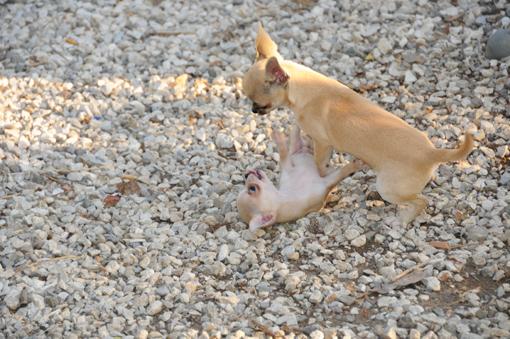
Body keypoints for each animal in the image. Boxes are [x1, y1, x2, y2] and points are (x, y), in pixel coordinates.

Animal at [243, 24, 474, 226]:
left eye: (259, 103)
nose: (253, 110)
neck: (303, 88)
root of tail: (432, 152)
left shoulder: (323, 143)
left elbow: (320, 166)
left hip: (388, 188)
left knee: (421, 201)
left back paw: (404, 219)